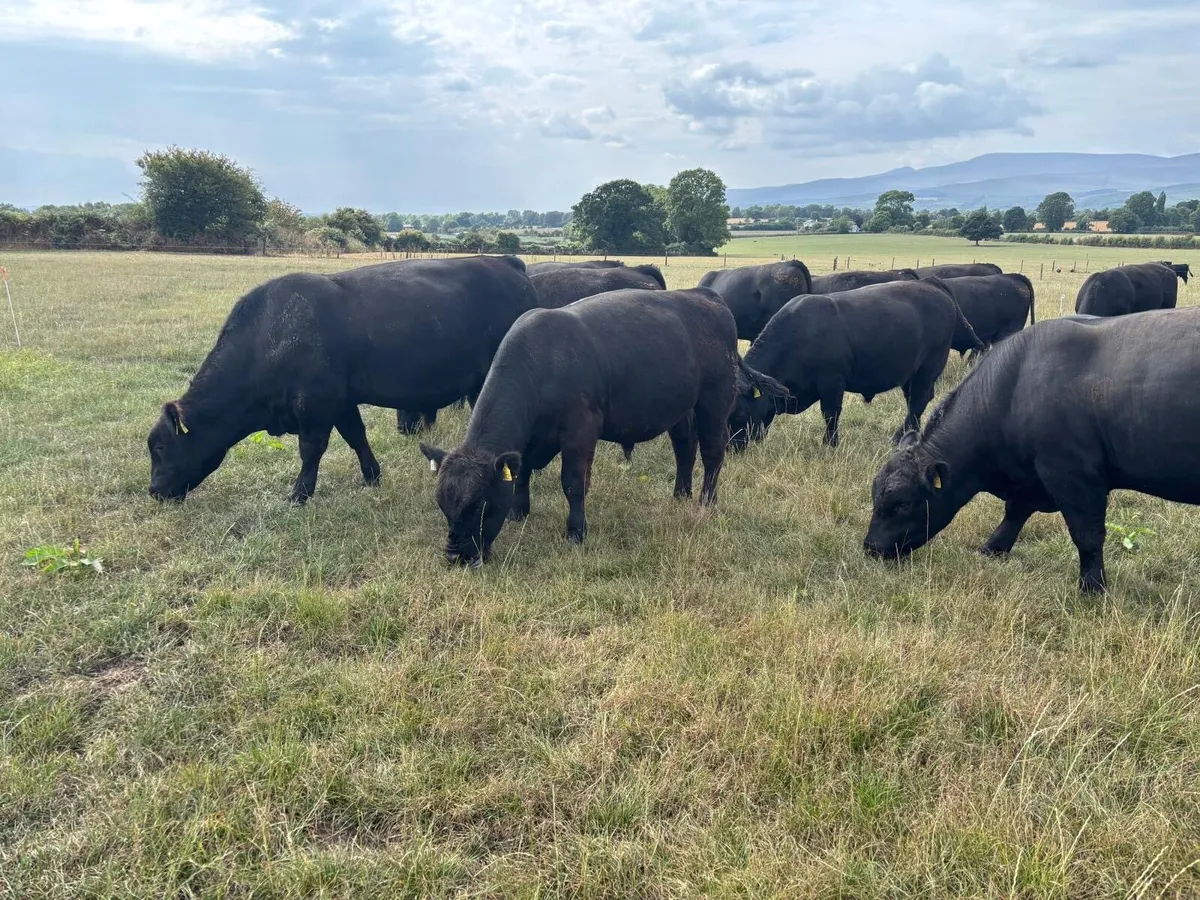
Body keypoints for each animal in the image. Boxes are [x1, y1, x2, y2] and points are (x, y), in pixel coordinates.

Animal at [147, 255, 537, 503]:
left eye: (160, 447)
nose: (153, 491)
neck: (271, 336)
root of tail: (503, 261)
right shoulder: (342, 402)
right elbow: (356, 437)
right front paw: (372, 477)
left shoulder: (316, 405)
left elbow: (311, 450)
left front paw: (300, 494)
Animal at [418, 288, 787, 565]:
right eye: (443, 505)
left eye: (480, 505)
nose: (455, 556)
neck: (542, 363)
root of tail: (705, 296)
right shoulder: (526, 444)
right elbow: (520, 475)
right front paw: (519, 512)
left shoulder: (580, 431)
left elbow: (573, 483)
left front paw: (576, 532)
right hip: (681, 407)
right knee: (684, 448)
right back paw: (680, 494)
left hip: (715, 399)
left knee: (712, 451)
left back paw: (706, 501)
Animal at [728, 279, 983, 451]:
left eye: (738, 413)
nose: (731, 447)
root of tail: (932, 285)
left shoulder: (832, 382)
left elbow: (830, 413)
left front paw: (830, 443)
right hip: (910, 374)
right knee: (915, 400)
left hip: (928, 367)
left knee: (919, 399)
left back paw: (899, 437)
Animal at [864, 309, 1200, 593]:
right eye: (875, 497)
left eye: (903, 504)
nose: (870, 548)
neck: (1014, 385)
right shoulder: (1030, 478)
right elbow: (1015, 513)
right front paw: (992, 549)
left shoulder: (1073, 475)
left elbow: (1088, 535)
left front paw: (1092, 587)